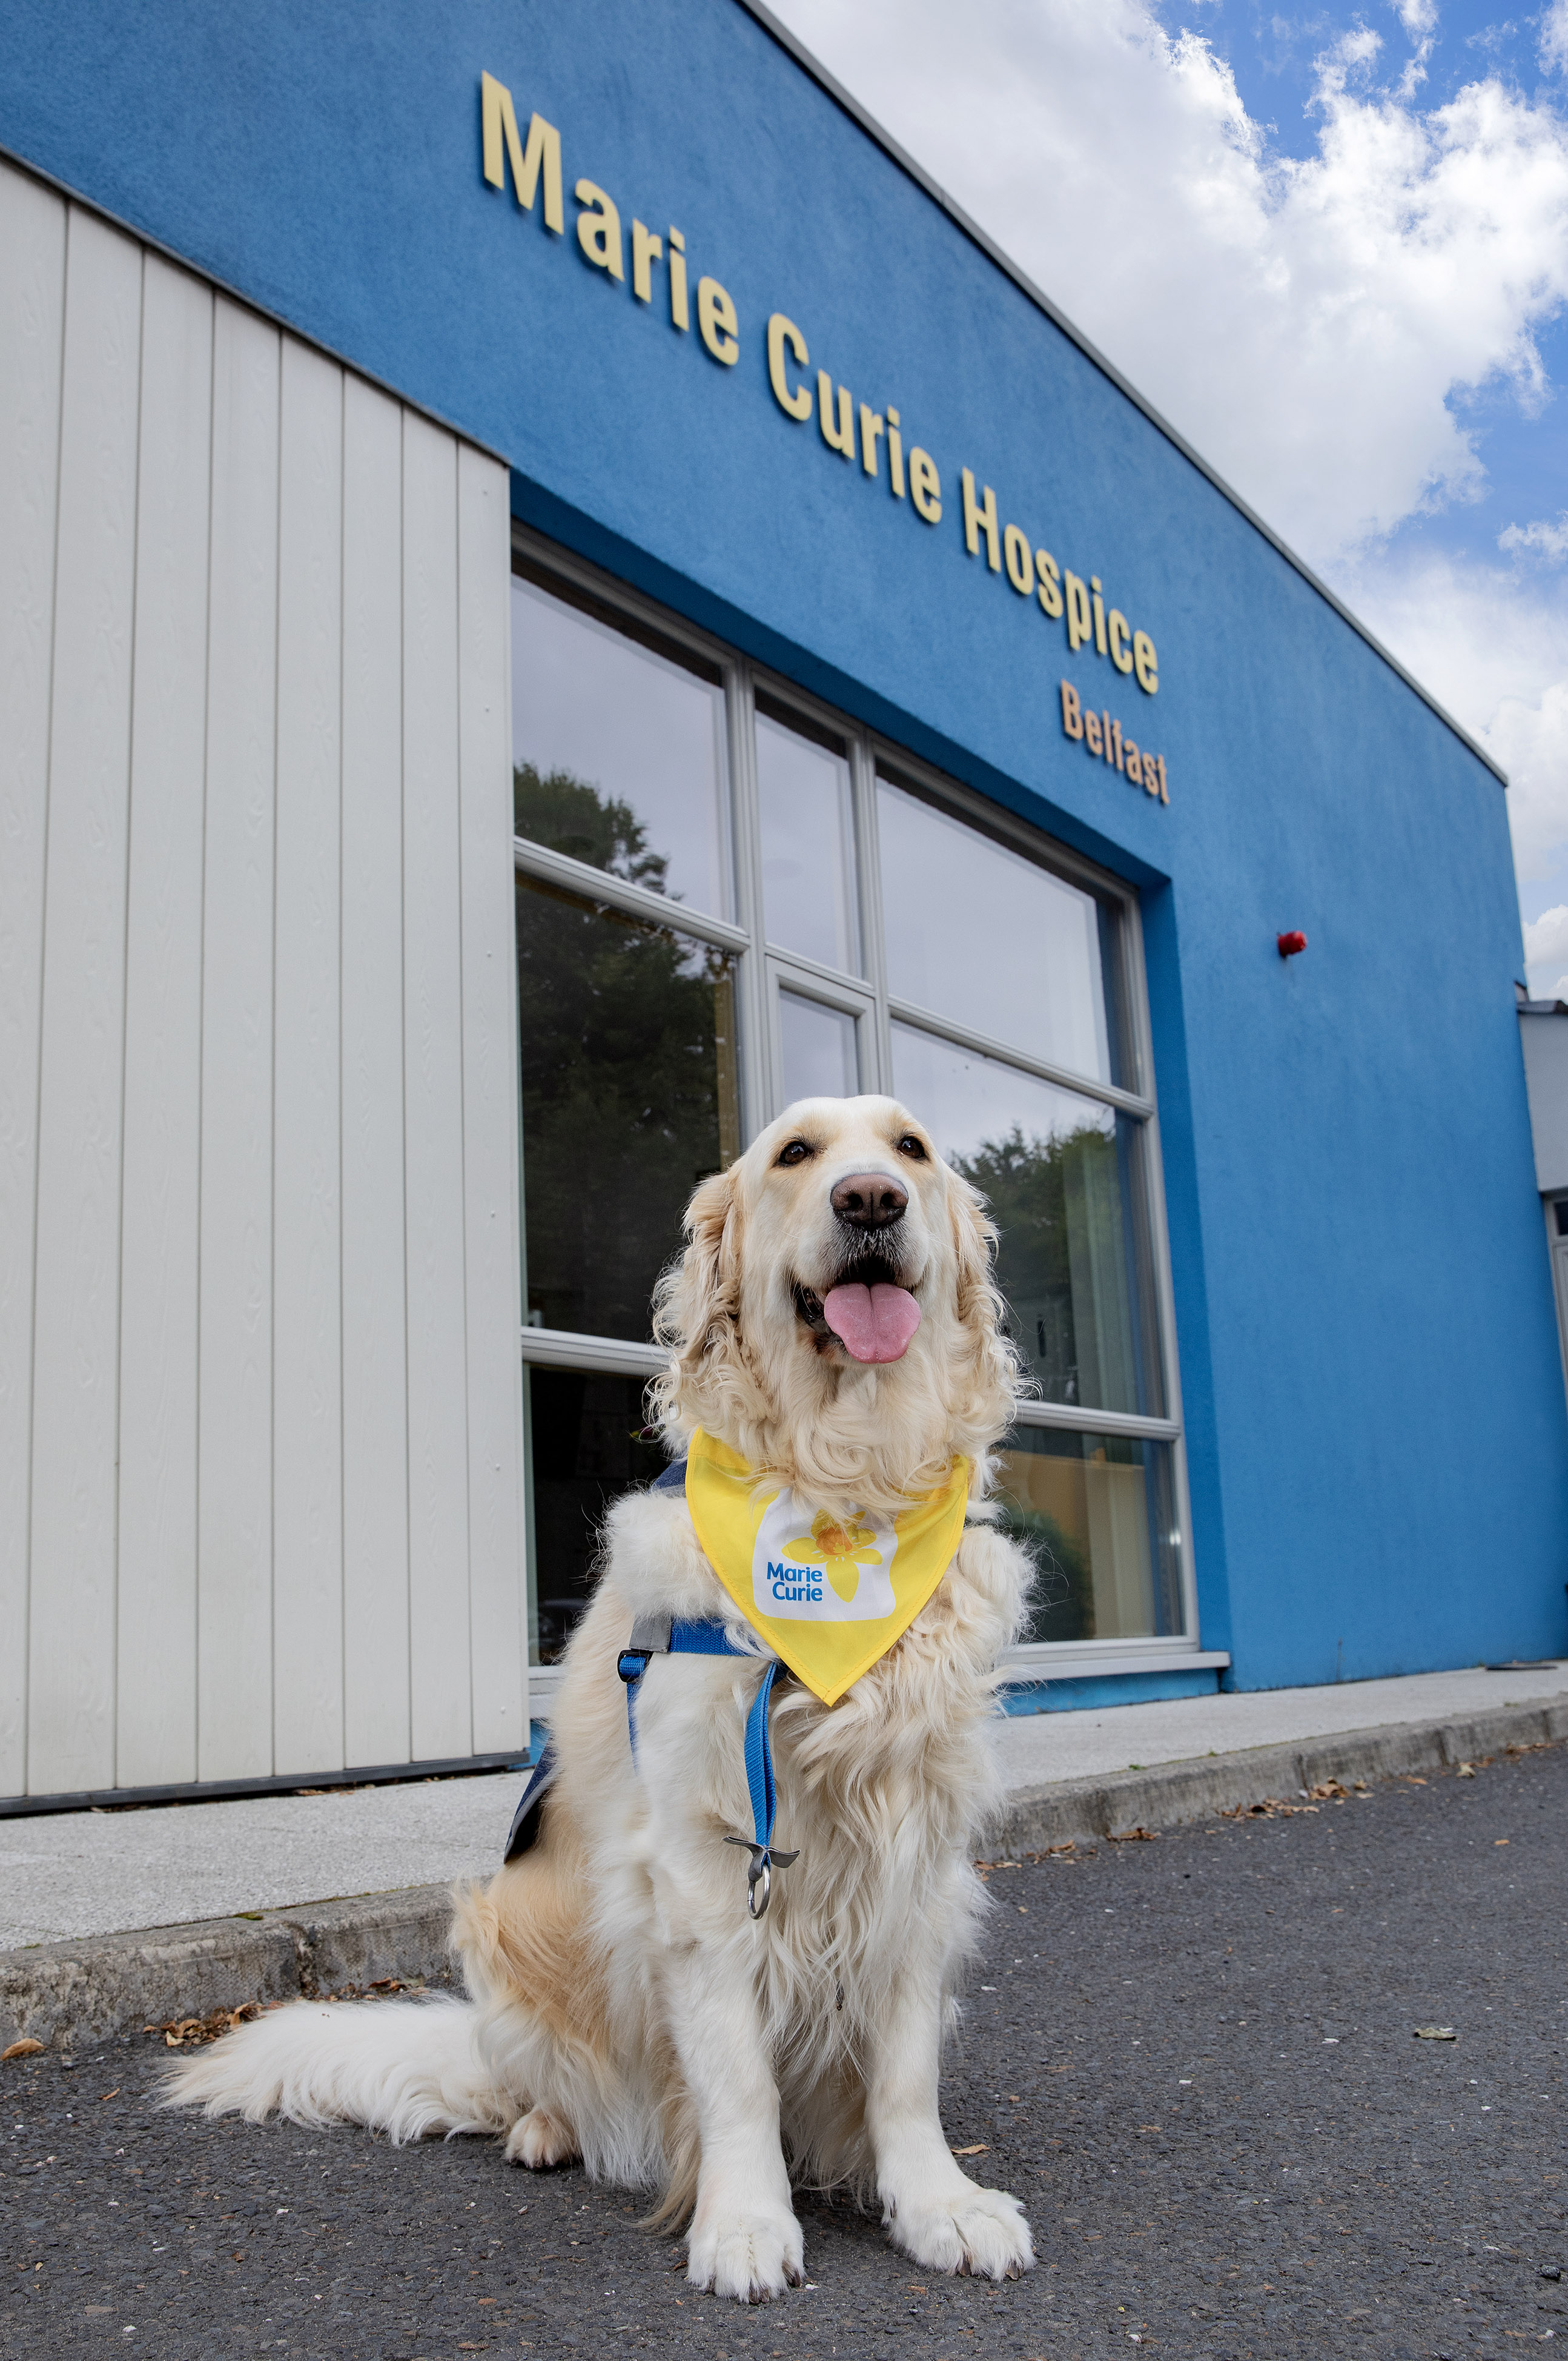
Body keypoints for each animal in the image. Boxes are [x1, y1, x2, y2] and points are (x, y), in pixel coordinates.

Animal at [171, 1095, 1034, 2294]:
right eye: (796, 1154)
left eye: (910, 1148)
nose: (870, 1199)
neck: (842, 1487)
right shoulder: (701, 1860)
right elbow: (736, 2073)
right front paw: (745, 2222)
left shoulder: (918, 1847)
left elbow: (904, 2071)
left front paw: (938, 2204)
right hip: (511, 1929)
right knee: (540, 2089)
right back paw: (546, 2129)